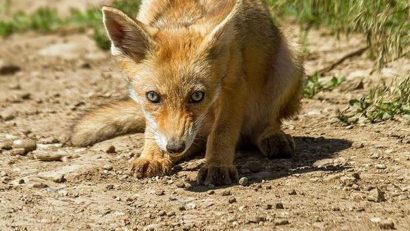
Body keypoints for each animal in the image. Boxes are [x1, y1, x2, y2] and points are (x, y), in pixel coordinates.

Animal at [70, 0, 302, 186]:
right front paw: (153, 156)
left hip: (289, 65)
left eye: (197, 96)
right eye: (153, 97)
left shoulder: (234, 83)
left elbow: (222, 133)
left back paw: (270, 136)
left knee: (264, 122)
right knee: (197, 143)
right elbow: (151, 129)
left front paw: (217, 165)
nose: (174, 146)